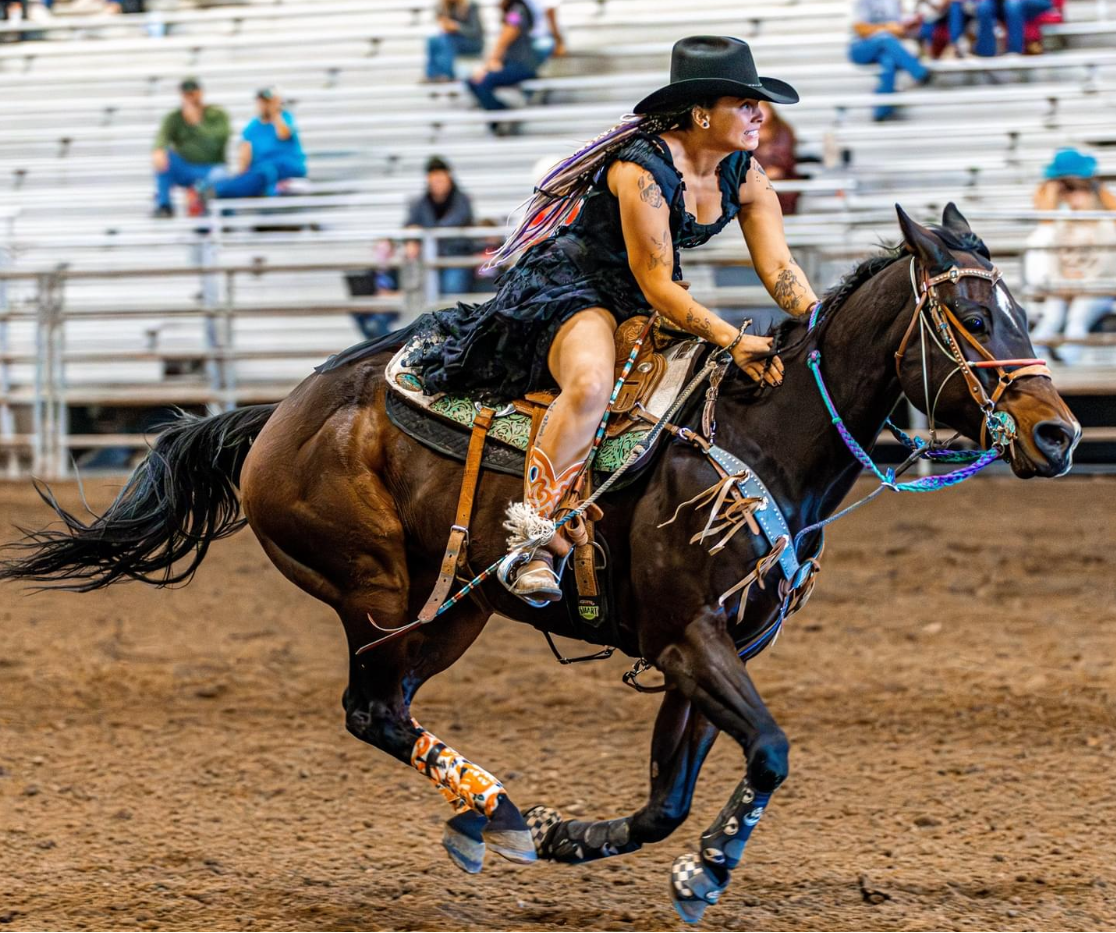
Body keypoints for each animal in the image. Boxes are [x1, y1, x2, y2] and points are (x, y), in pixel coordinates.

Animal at [0, 205, 1080, 923]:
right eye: (971, 318)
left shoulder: (703, 653)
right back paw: (499, 809)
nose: (1061, 433)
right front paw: (704, 871)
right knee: (372, 708)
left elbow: (667, 797)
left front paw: (586, 840)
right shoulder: (691, 638)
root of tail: (273, 415)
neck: (760, 439)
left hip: (449, 611)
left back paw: (507, 819)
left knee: (385, 710)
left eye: (1023, 310)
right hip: (395, 598)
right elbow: (769, 751)